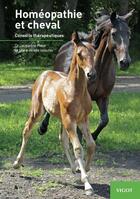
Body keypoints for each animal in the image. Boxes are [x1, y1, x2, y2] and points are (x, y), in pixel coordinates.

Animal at [13, 32, 96, 196]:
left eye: (94, 52)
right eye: (79, 54)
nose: (91, 74)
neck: (76, 91)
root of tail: (44, 73)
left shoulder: (83, 119)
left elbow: (90, 144)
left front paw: (85, 169)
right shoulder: (70, 120)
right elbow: (78, 148)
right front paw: (87, 184)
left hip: (62, 118)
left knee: (62, 139)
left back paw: (74, 168)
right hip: (37, 111)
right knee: (27, 130)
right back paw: (17, 163)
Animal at [38, 9, 133, 141]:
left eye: (129, 33)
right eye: (114, 34)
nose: (125, 62)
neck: (99, 71)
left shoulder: (103, 97)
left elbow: (104, 120)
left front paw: (92, 136)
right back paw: (43, 128)